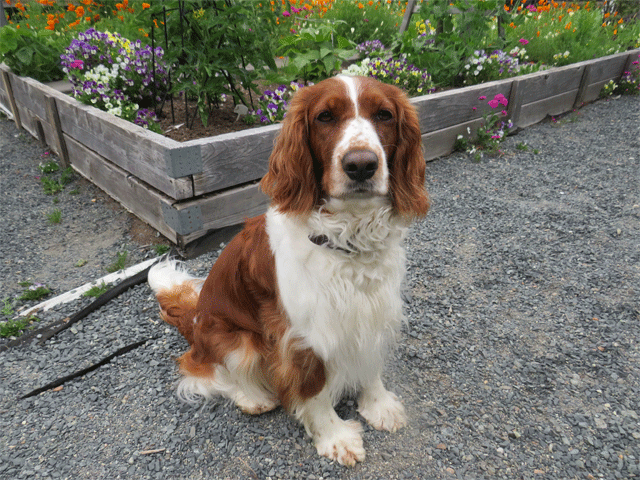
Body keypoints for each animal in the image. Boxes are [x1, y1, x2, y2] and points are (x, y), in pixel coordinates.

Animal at [149, 76, 430, 464]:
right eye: (325, 116)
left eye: (384, 115)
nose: (361, 165)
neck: (347, 236)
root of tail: (193, 319)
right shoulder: (301, 335)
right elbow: (314, 390)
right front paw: (335, 437)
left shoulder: (375, 311)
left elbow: (370, 364)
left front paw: (378, 406)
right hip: (235, 338)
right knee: (204, 370)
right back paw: (252, 397)